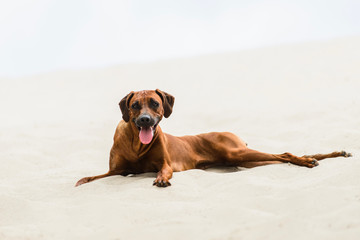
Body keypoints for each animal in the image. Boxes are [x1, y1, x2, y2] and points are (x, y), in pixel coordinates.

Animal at [74, 88, 352, 188]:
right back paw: (327, 155)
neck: (136, 144)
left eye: (154, 103)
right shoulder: (115, 171)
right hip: (245, 159)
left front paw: (162, 179)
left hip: (236, 152)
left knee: (285, 153)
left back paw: (311, 160)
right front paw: (81, 181)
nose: (144, 120)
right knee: (283, 157)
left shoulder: (165, 163)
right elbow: (92, 177)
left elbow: (163, 170)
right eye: (134, 106)